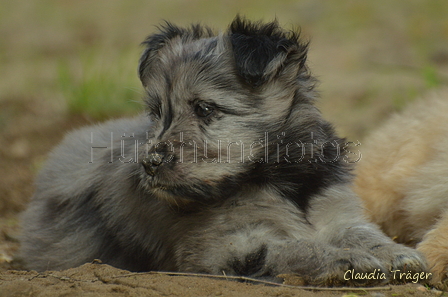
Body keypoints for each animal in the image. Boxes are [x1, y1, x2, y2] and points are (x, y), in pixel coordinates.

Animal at [20, 17, 428, 286]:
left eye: (204, 109)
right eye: (157, 113)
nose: (149, 164)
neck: (279, 178)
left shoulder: (338, 214)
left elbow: (363, 232)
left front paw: (396, 253)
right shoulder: (231, 246)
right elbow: (293, 248)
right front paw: (346, 259)